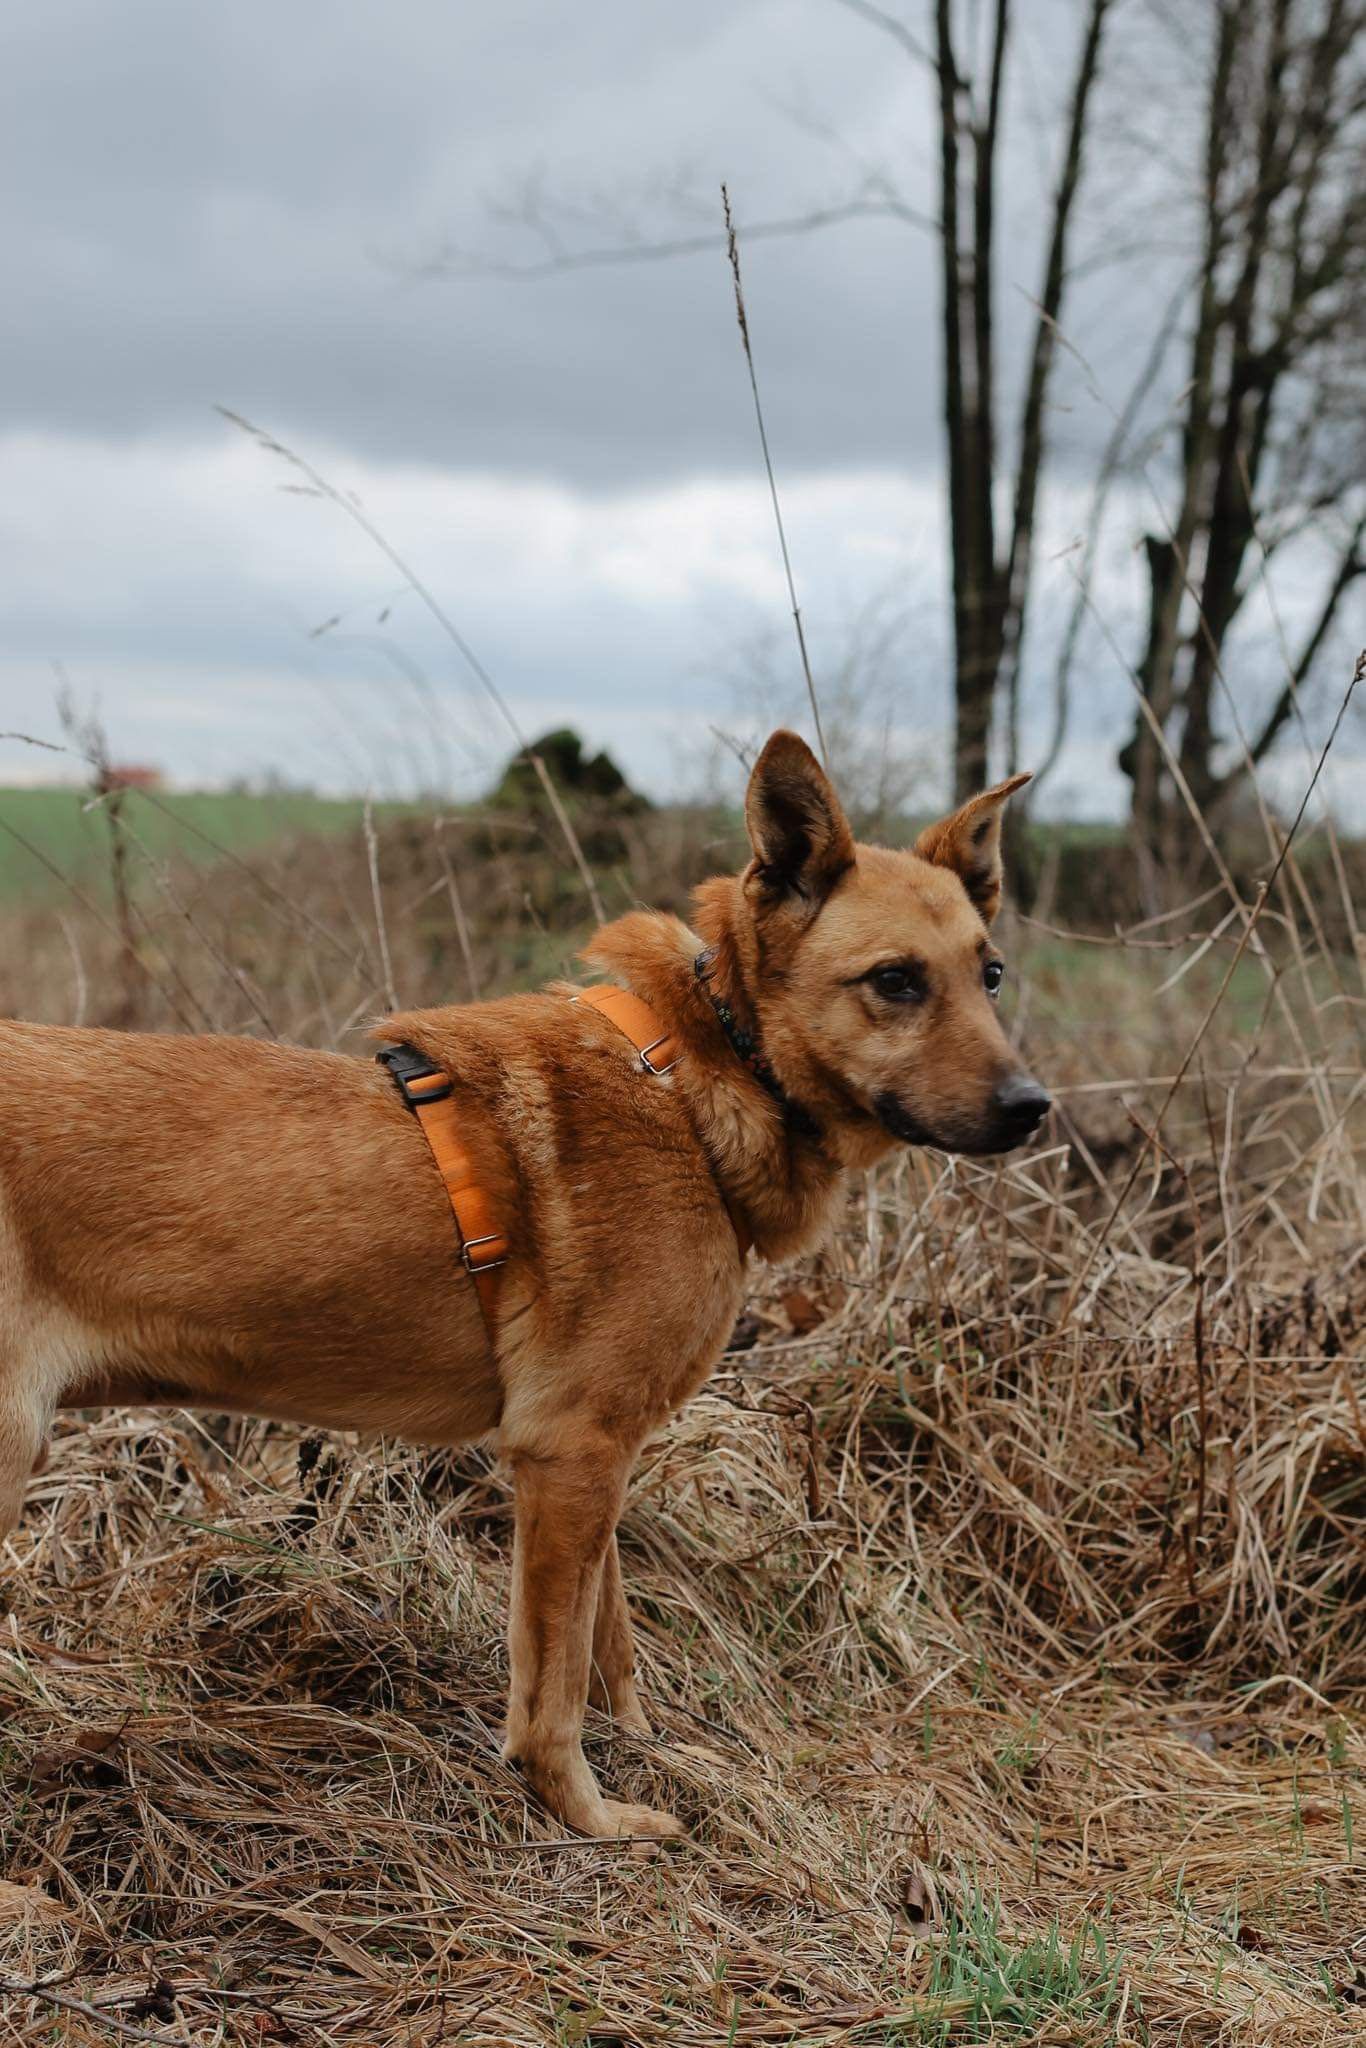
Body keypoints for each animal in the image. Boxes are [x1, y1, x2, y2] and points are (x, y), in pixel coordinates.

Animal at [0, 733, 1048, 1843]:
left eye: (989, 973)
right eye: (894, 981)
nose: (1033, 1107)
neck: (707, 1070)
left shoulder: (597, 1457)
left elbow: (608, 1639)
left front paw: (653, 1749)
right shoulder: (568, 1451)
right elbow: (552, 1684)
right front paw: (585, 1812)